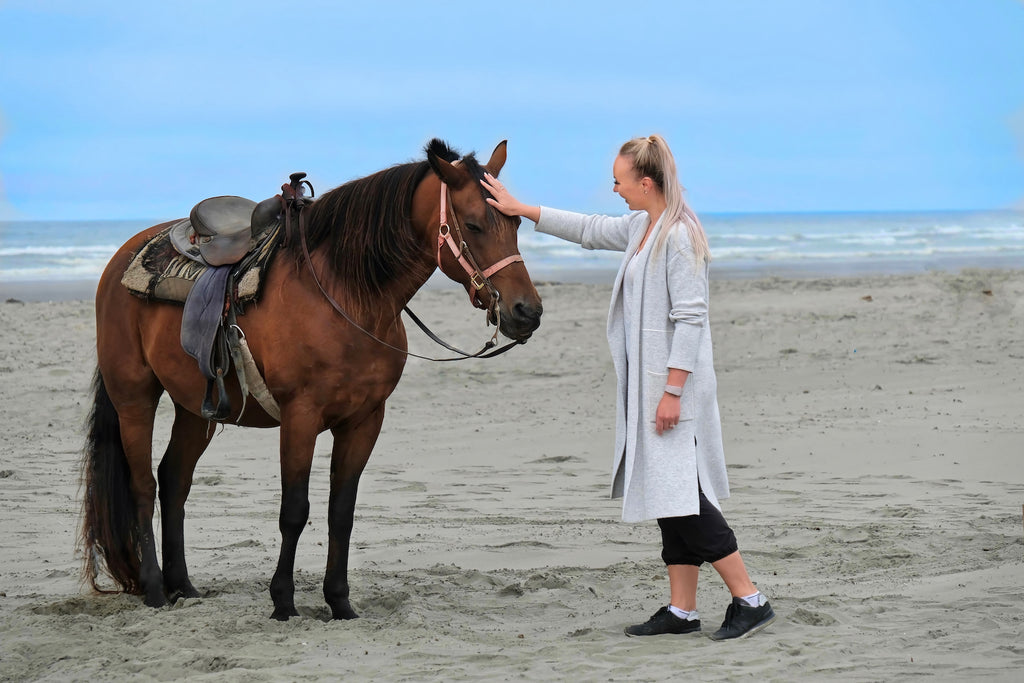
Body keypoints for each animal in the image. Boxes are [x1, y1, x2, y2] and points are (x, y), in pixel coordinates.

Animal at [79, 139, 544, 618]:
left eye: (516, 222)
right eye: (473, 224)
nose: (527, 311)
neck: (347, 294)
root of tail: (121, 258)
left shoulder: (364, 421)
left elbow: (342, 511)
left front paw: (339, 601)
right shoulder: (300, 417)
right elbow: (294, 510)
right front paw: (283, 601)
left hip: (196, 407)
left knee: (174, 481)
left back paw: (184, 586)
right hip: (134, 397)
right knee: (143, 485)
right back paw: (155, 588)